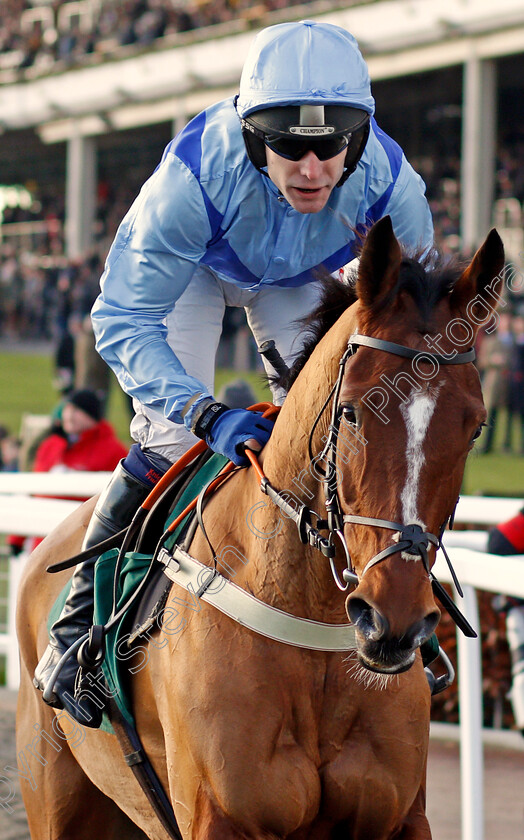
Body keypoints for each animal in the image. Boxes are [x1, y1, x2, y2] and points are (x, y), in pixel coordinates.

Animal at [14, 218, 502, 840]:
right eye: (351, 411)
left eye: (474, 427)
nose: (393, 621)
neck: (311, 619)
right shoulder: (219, 814)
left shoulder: (401, 818)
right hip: (59, 799)